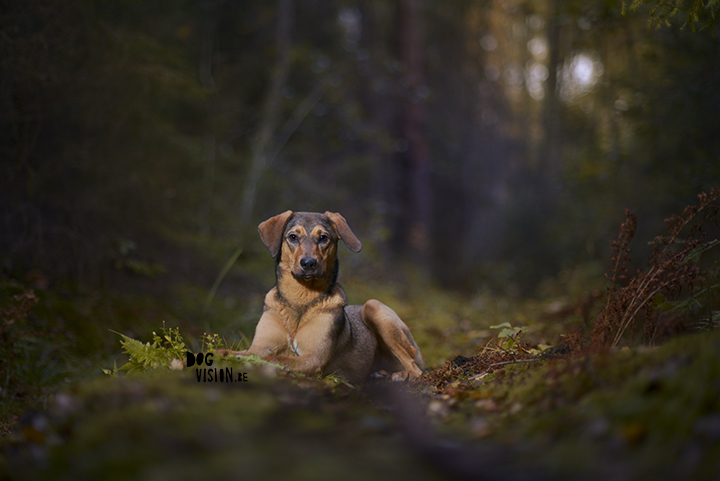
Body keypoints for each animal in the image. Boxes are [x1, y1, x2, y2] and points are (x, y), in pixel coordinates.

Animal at [217, 210, 424, 382]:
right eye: (293, 237)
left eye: (323, 238)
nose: (309, 263)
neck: (301, 297)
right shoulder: (260, 345)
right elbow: (236, 351)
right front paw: (223, 354)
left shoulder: (312, 358)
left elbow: (273, 358)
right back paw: (380, 373)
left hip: (374, 306)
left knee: (415, 367)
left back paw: (402, 375)